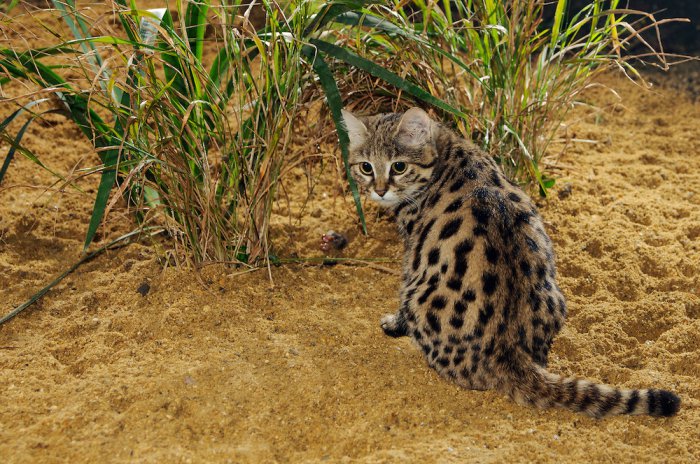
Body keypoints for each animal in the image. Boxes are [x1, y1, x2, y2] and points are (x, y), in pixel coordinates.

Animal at [342, 108, 680, 416]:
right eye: (366, 167)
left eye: (399, 166)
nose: (379, 191)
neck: (445, 150)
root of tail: (507, 351)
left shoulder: (413, 252)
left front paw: (393, 322)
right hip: (557, 296)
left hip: (420, 293)